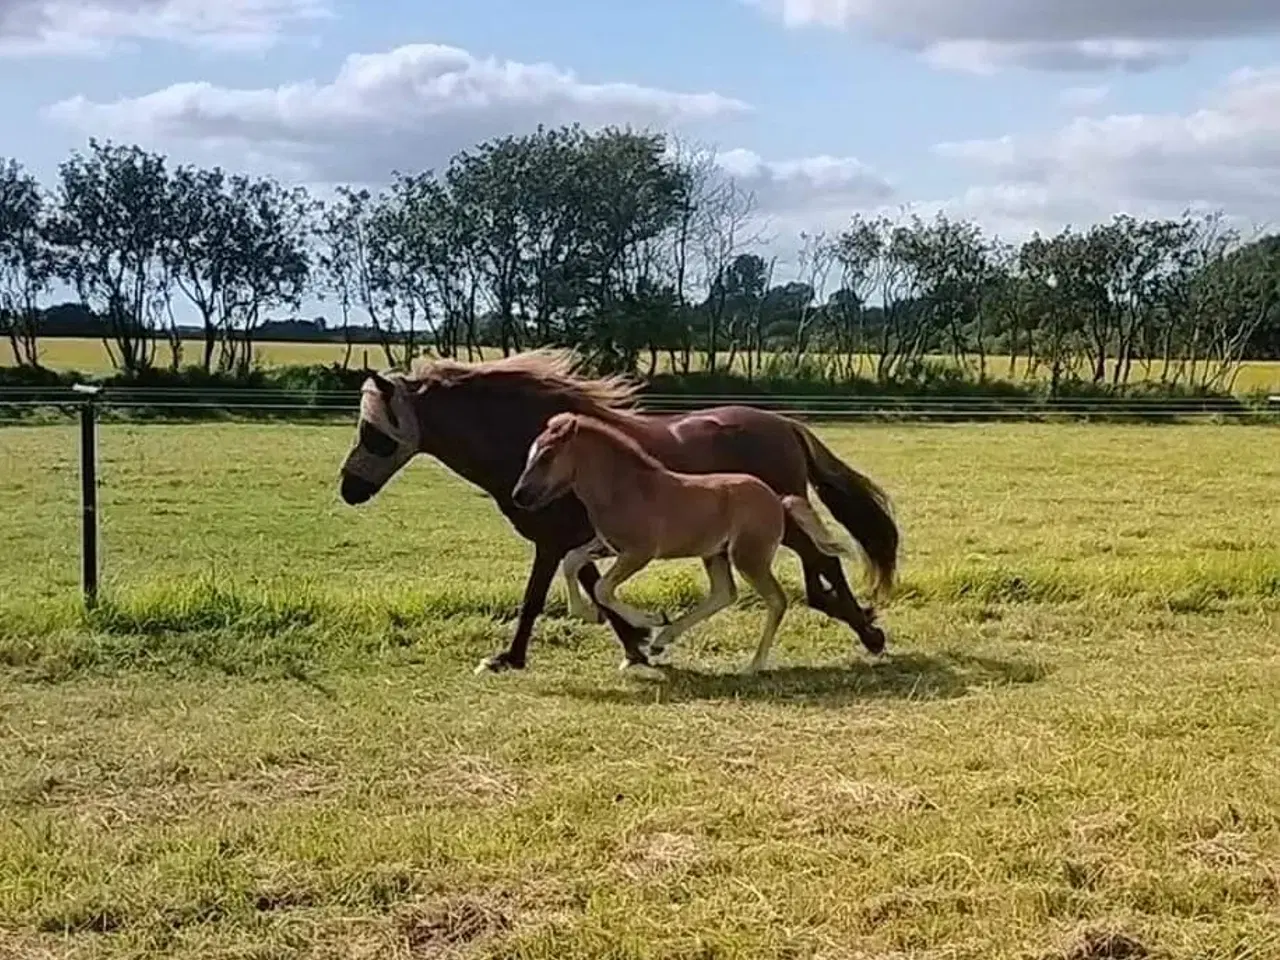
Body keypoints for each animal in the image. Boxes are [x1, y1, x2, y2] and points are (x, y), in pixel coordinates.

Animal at [506, 414, 849, 675]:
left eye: (547, 455)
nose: (519, 495)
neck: (625, 488)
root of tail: (778, 500)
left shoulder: (639, 552)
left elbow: (602, 587)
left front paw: (649, 622)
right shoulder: (606, 544)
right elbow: (571, 561)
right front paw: (590, 615)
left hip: (748, 556)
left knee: (776, 600)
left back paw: (753, 665)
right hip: (716, 553)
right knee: (724, 593)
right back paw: (663, 640)